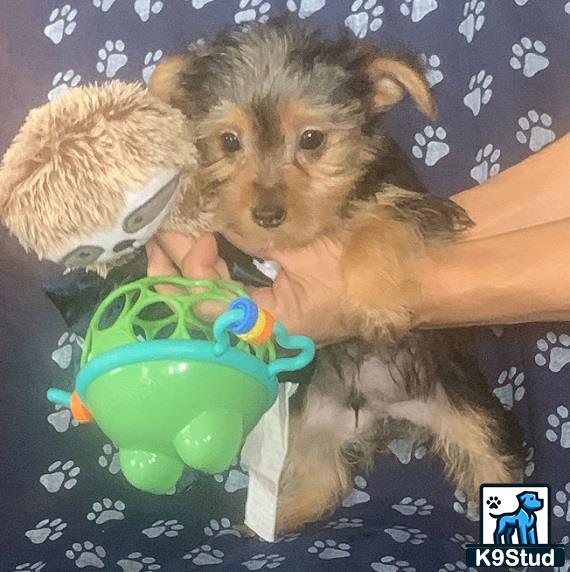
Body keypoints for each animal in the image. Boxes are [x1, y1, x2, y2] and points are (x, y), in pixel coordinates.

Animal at [150, 21, 524, 532]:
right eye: (228, 142)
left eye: (312, 139)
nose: (267, 215)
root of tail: (386, 412)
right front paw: (185, 195)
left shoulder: (416, 203)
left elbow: (379, 223)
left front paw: (377, 301)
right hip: (313, 424)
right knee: (321, 479)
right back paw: (276, 518)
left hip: (469, 408)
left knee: (491, 457)